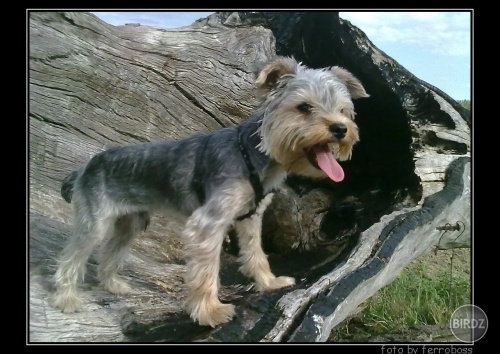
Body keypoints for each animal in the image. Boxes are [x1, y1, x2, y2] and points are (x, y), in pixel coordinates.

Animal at [52, 54, 370, 326]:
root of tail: (85, 166)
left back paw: (114, 285)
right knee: (72, 256)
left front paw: (269, 282)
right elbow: (206, 272)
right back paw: (66, 299)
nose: (341, 129)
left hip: (132, 222)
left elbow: (256, 252)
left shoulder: (250, 218)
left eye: (344, 111)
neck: (254, 152)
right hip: (96, 221)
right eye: (304, 107)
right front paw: (210, 312)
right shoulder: (207, 224)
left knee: (111, 252)